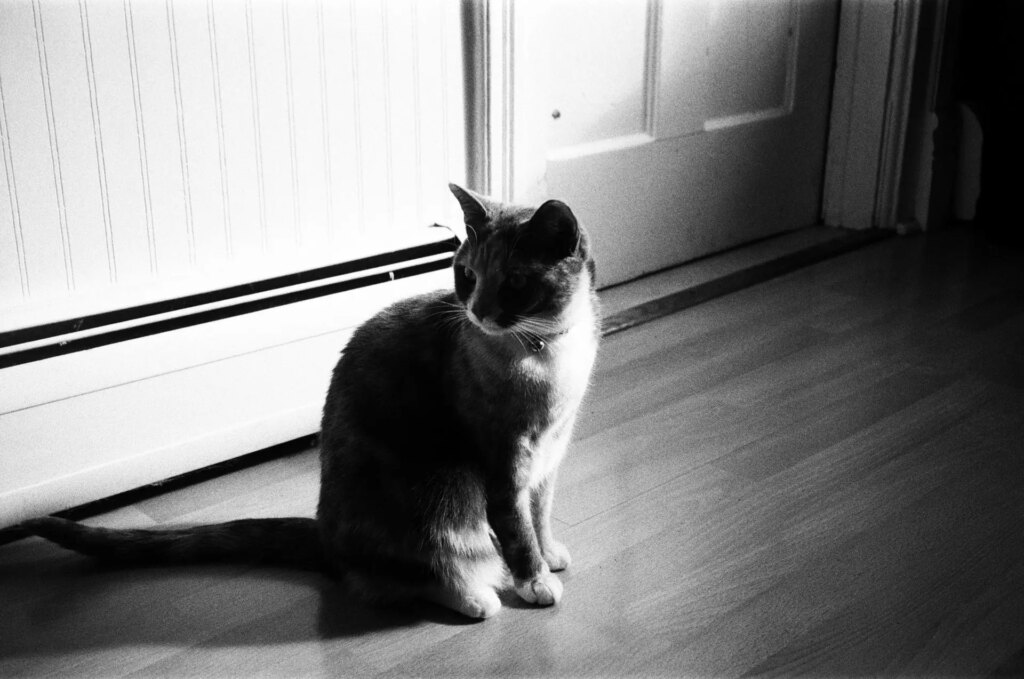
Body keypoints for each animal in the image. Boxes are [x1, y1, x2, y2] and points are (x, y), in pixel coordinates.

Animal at [19, 183, 598, 618]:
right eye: (468, 275)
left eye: (515, 282)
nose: (477, 311)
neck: (547, 354)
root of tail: (323, 534)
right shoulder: (503, 463)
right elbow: (516, 530)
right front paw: (535, 582)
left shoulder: (548, 458)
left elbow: (540, 515)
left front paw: (551, 554)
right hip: (441, 488)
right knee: (410, 573)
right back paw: (476, 598)